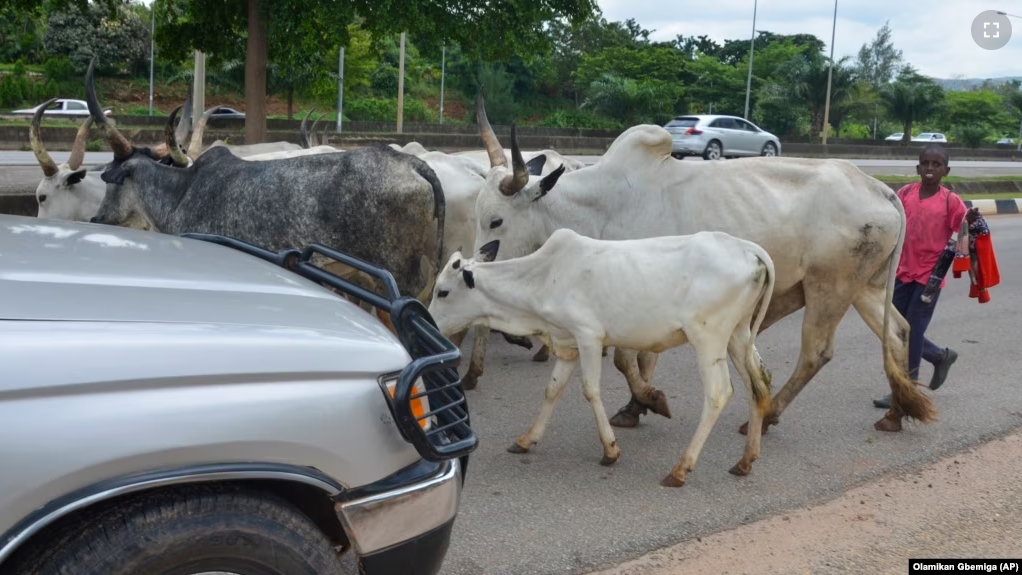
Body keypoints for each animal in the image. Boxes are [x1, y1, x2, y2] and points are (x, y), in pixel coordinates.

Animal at [429, 227, 772, 488]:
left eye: (442, 291)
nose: (430, 324)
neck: (543, 277)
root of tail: (745, 247)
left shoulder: (588, 337)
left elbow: (590, 390)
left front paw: (610, 450)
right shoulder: (567, 344)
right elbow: (552, 390)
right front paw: (527, 439)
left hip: (708, 338)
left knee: (718, 394)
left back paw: (680, 469)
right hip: (738, 335)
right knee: (758, 386)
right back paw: (745, 460)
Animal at [468, 94, 936, 437]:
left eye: (496, 221)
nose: (472, 271)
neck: (600, 205)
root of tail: (878, 187)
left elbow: (628, 360)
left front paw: (648, 400)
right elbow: (634, 360)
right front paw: (635, 406)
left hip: (830, 287)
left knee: (816, 352)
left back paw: (767, 416)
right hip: (865, 286)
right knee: (898, 332)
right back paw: (895, 413)